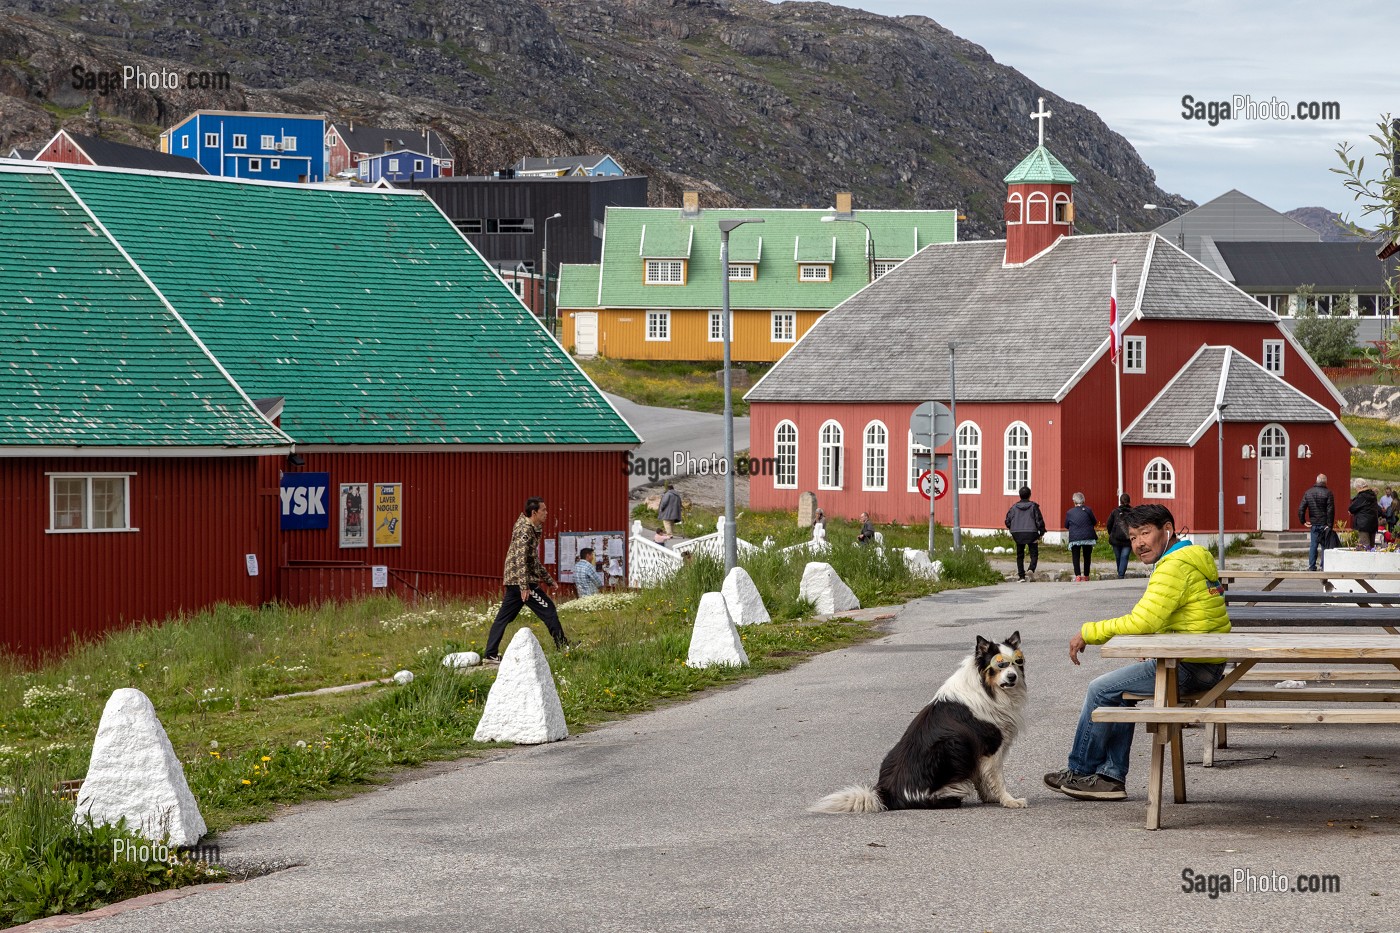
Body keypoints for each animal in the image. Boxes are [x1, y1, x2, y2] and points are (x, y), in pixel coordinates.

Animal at [812, 633, 1030, 806]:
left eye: (1017, 662)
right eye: (1000, 664)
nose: (1012, 677)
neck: (986, 688)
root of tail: (886, 795)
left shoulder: (977, 752)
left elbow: (981, 778)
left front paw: (990, 798)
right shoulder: (991, 748)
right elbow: (997, 778)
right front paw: (1009, 801)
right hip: (950, 747)